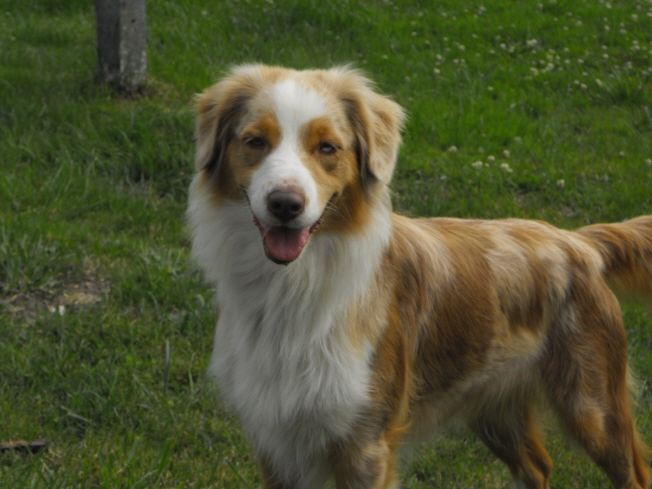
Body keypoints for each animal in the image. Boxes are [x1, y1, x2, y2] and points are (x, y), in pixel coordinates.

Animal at [187, 64, 652, 489]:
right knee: (538, 466)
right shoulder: (277, 442)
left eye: (327, 147)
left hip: (594, 406)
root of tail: (579, 241)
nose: (286, 204)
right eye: (255, 142)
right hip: (494, 407)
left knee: (632, 473)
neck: (293, 285)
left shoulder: (367, 444)